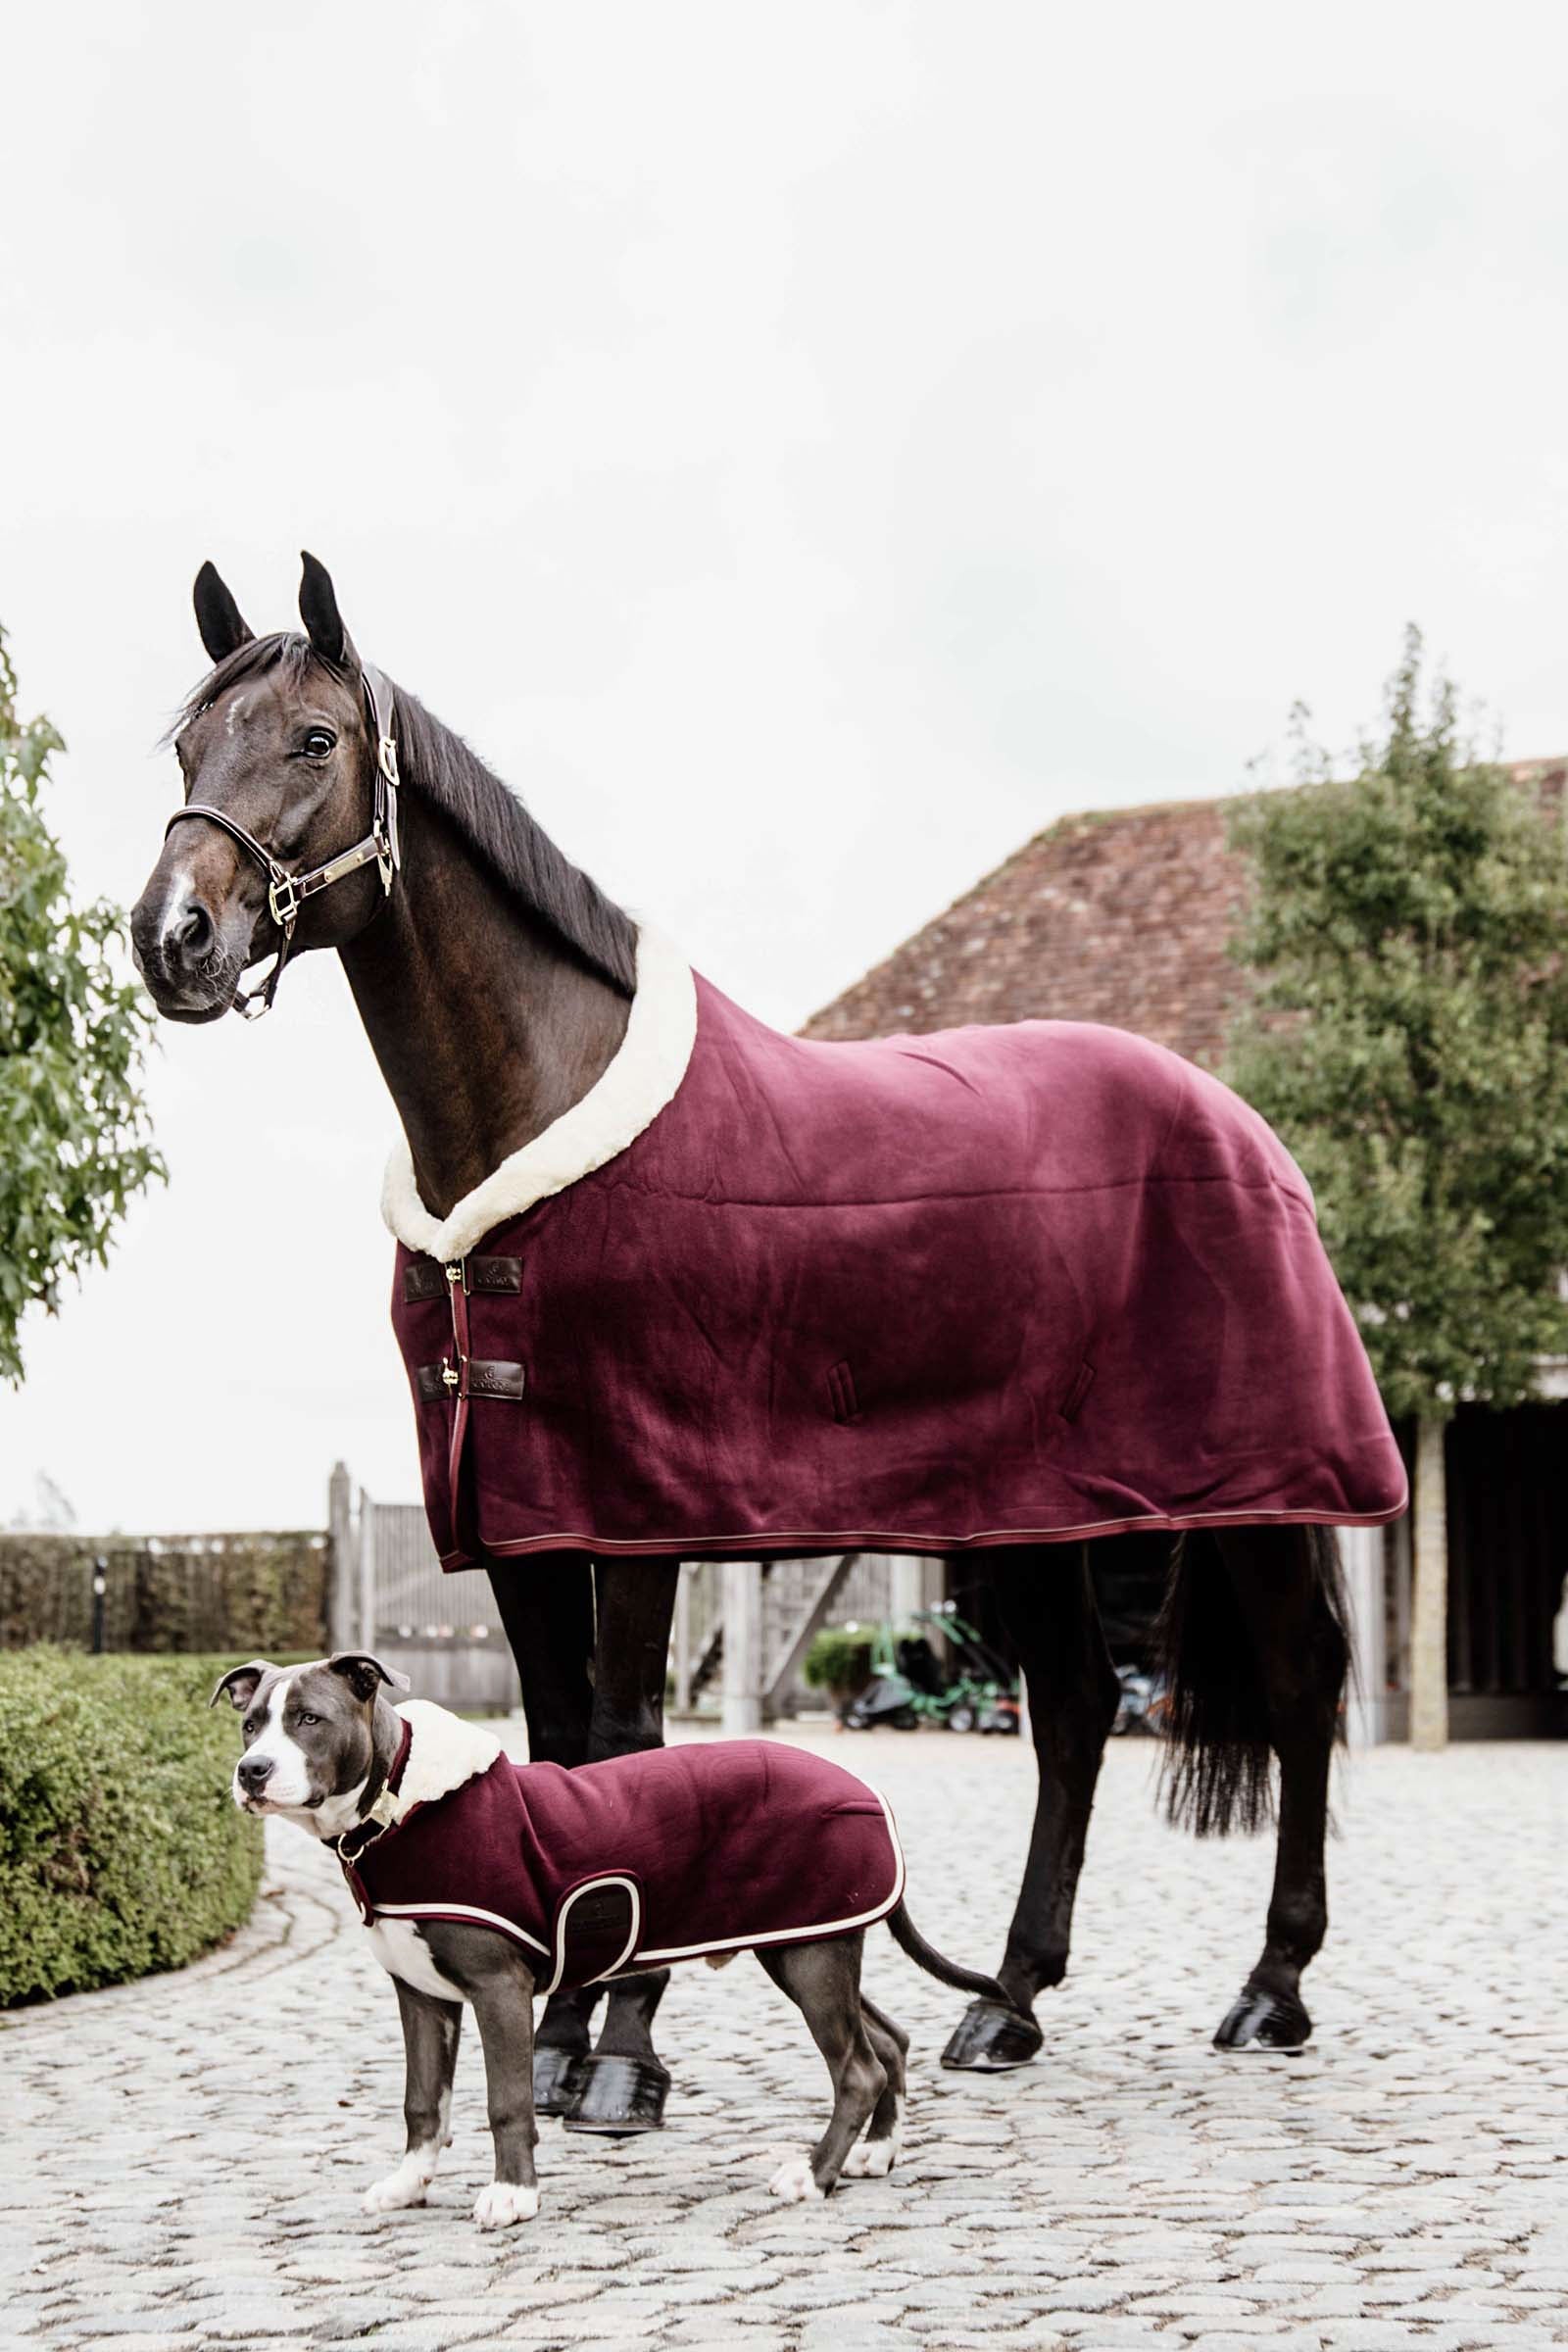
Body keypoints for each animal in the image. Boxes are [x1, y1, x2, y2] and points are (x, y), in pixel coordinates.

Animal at [130, 553, 1407, 2137]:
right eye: (187, 747)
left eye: (314, 739)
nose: (174, 940)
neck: (530, 1111)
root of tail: (1243, 1127)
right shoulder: (522, 1518)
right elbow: (558, 1737)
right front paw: (564, 2026)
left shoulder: (633, 1510)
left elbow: (621, 1744)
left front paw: (620, 2056)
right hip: (1030, 1517)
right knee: (1069, 1713)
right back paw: (1008, 2003)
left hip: (1257, 1496)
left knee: (1294, 1685)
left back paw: (1270, 1988)